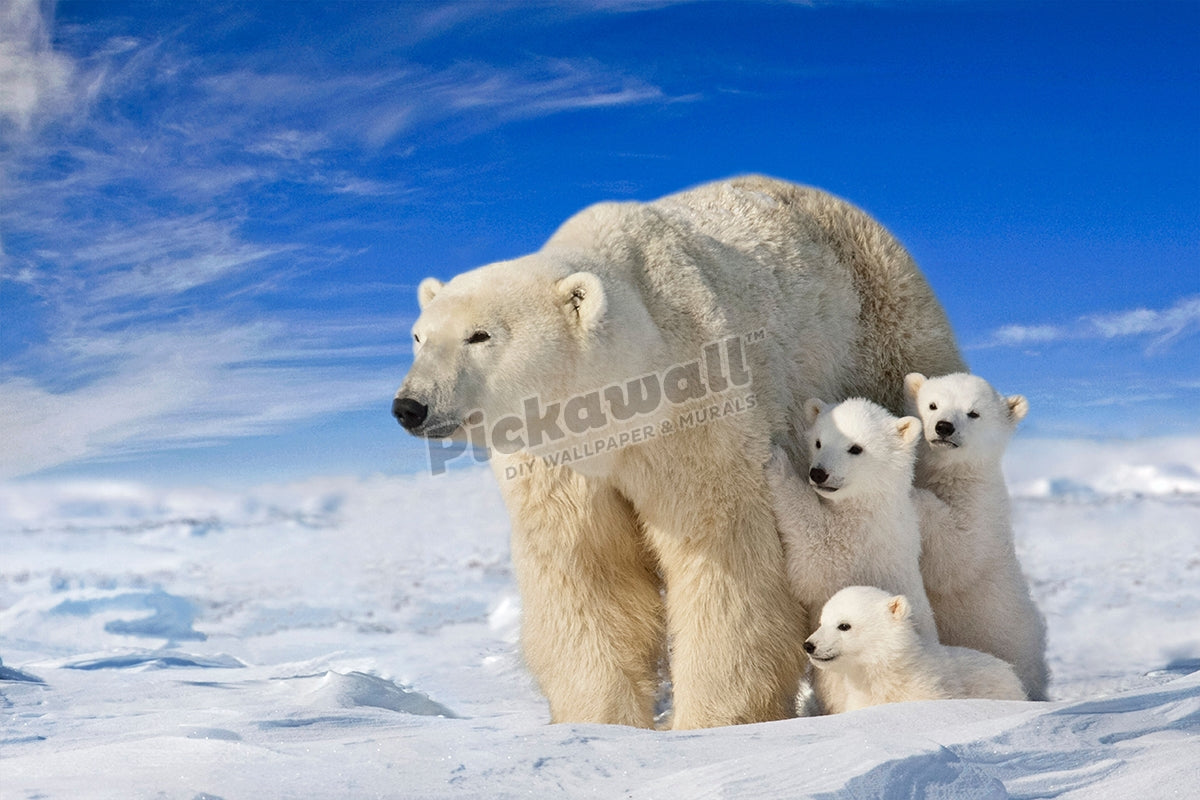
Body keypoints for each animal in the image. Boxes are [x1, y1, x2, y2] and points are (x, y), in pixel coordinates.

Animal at [765, 397, 939, 713]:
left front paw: (777, 461)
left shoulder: (860, 538)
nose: (818, 473)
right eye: (819, 442)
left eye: (855, 447)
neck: (874, 499)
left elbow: (815, 553)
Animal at [904, 371, 1050, 701]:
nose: (944, 427)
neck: (952, 476)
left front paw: (912, 495)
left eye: (973, 412)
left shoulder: (981, 510)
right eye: (932, 405)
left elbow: (956, 558)